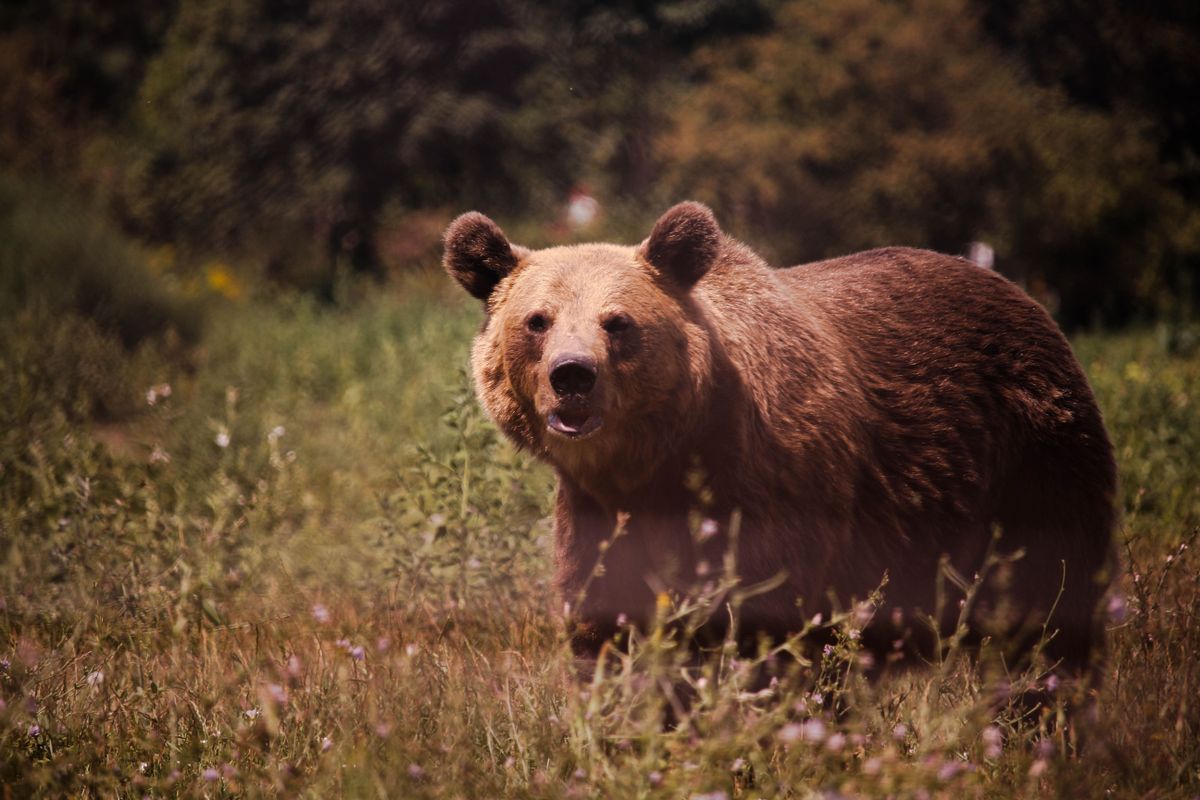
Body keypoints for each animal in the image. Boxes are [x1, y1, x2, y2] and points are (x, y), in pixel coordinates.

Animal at [446, 201, 1118, 676]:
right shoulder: (596, 516)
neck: (661, 464)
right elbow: (607, 624)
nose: (573, 376)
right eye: (537, 320)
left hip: (1033, 458)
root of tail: (1019, 293)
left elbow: (772, 626)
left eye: (618, 322)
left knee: (1050, 608)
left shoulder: (775, 488)